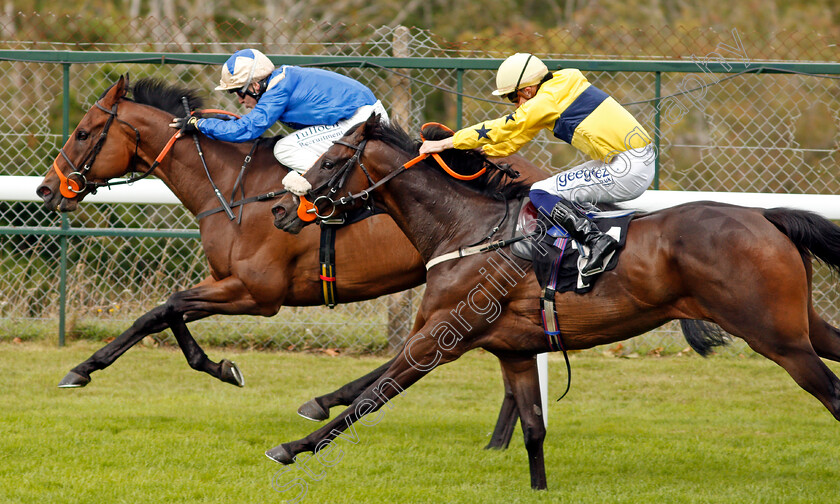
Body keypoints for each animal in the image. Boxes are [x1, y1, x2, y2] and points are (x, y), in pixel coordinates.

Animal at [32, 74, 544, 448]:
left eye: (83, 133)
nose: (46, 189)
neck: (233, 190)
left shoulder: (257, 293)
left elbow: (168, 306)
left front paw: (218, 368)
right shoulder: (227, 281)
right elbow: (161, 313)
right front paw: (86, 369)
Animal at [270, 113, 840, 488]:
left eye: (329, 160)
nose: (280, 209)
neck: (468, 230)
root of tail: (766, 216)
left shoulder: (440, 338)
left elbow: (371, 395)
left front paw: (292, 447)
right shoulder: (514, 350)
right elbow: (533, 430)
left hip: (777, 337)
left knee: (832, 394)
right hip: (802, 326)